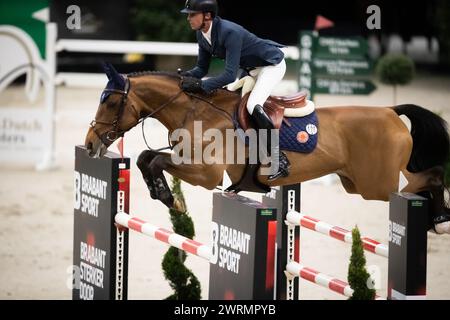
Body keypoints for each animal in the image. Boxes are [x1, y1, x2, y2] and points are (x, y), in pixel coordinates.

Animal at [83, 63, 450, 234]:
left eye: (111, 101)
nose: (89, 143)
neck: (195, 111)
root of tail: (391, 111)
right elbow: (147, 158)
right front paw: (167, 197)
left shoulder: (205, 174)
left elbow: (156, 159)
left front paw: (172, 199)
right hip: (359, 182)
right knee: (421, 179)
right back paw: (437, 219)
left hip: (376, 185)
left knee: (427, 179)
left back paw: (441, 218)